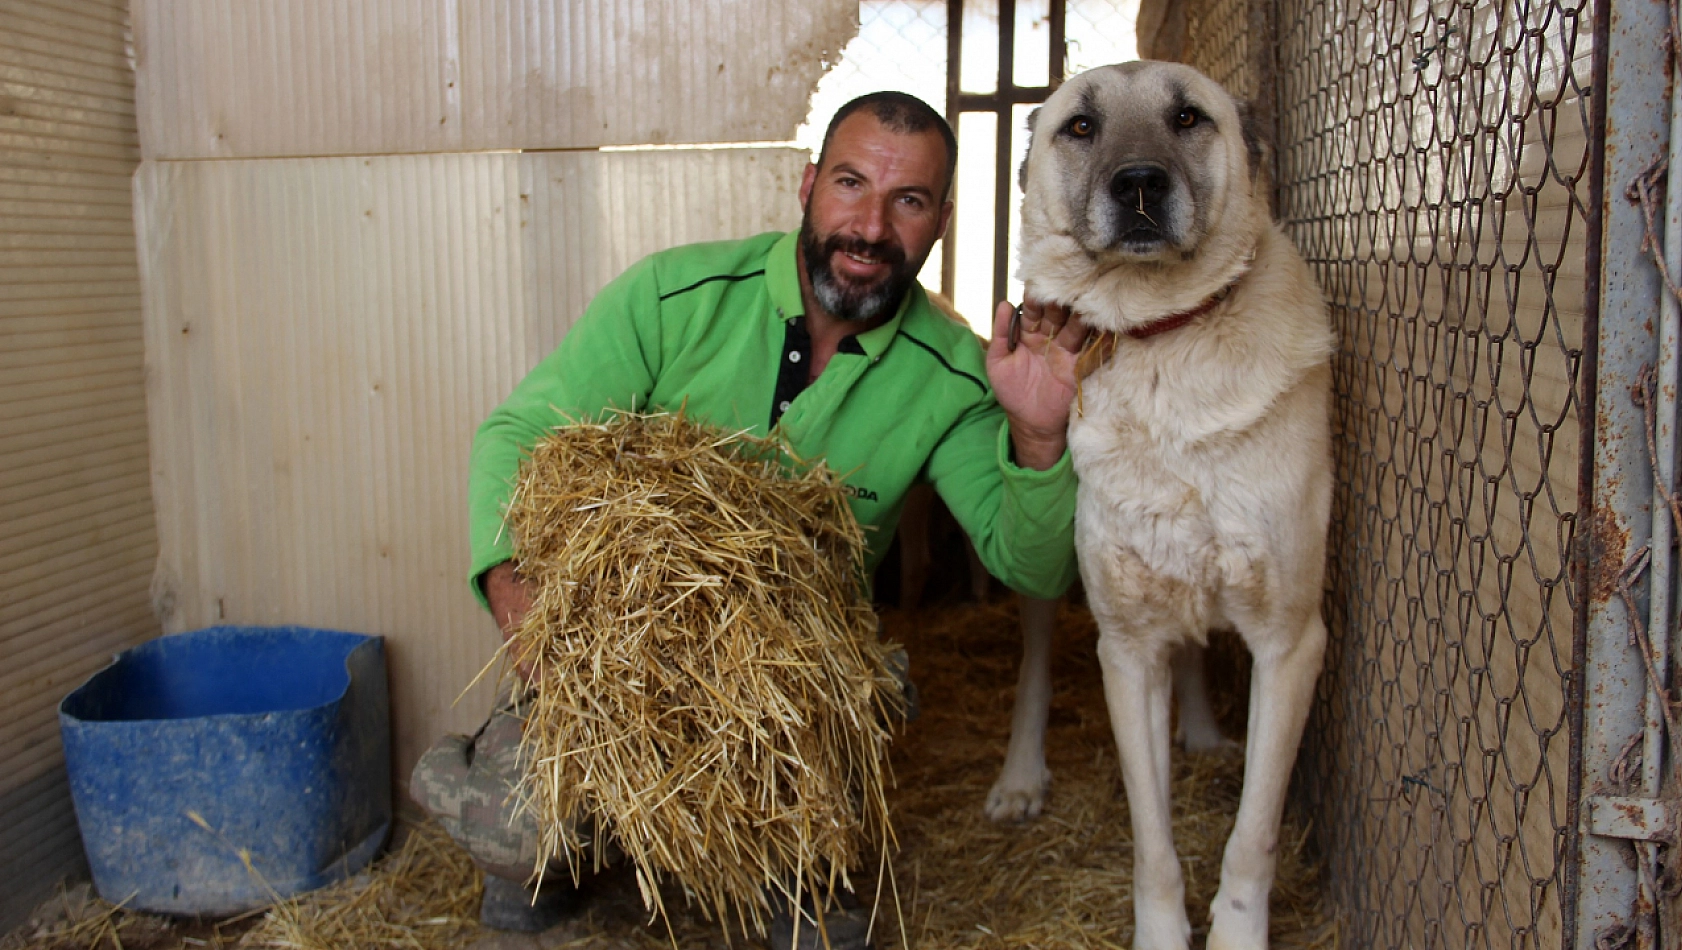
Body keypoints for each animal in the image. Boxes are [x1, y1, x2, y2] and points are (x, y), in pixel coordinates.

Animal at [1009, 63, 1338, 941]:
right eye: (1080, 127)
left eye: (1188, 118)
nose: (1139, 184)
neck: (1164, 341)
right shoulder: (1127, 650)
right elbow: (1152, 840)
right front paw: (1162, 932)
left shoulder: (1290, 644)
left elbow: (1253, 834)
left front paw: (1237, 934)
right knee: (1035, 660)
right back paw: (1019, 775)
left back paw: (1201, 728)